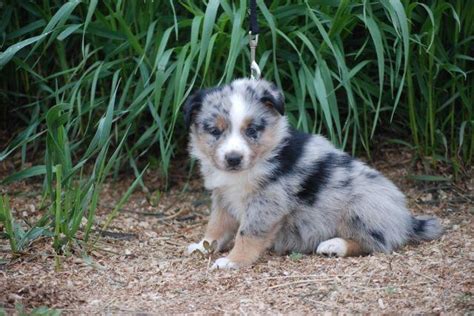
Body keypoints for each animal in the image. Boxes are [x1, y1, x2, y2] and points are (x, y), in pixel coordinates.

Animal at [183, 78, 442, 270]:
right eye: (215, 131)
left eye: (252, 130)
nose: (233, 158)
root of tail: (406, 220)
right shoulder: (222, 196)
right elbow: (216, 226)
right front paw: (203, 245)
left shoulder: (267, 201)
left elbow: (248, 234)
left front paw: (232, 261)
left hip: (362, 205)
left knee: (378, 243)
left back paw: (335, 246)